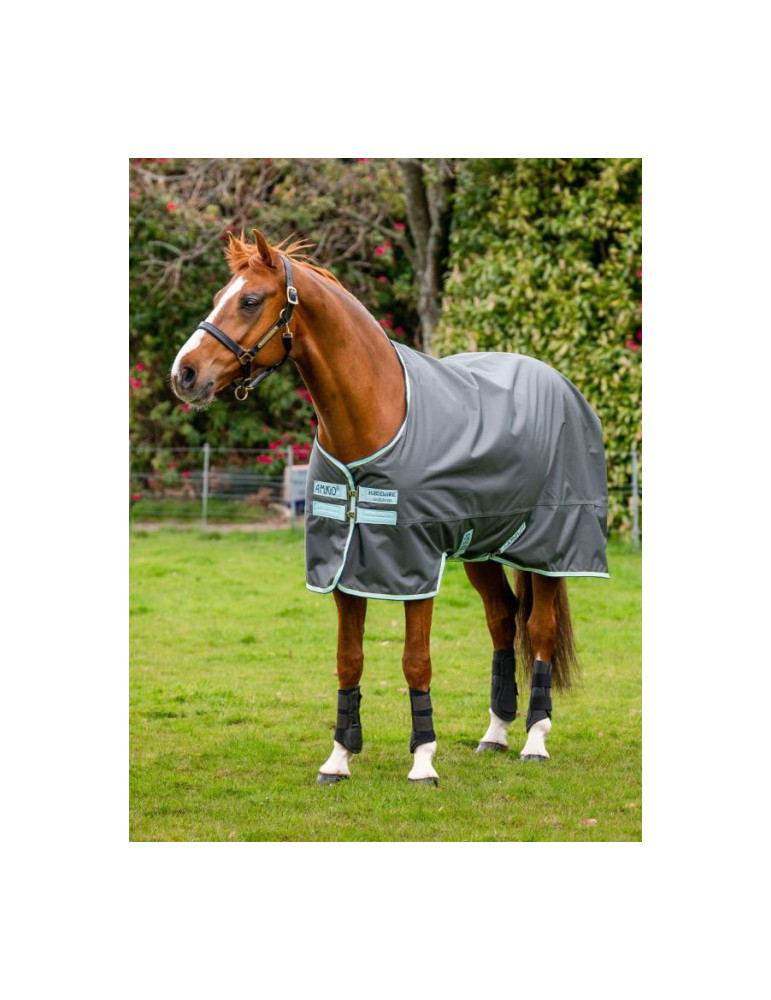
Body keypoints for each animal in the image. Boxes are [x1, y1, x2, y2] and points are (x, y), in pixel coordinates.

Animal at [170, 231, 609, 786]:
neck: (374, 414)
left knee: (539, 629)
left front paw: (423, 761)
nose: (184, 374)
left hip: (550, 549)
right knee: (502, 620)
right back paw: (495, 734)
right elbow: (349, 659)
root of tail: (559, 382)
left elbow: (415, 661)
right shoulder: (342, 567)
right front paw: (339, 757)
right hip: (481, 550)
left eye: (249, 300)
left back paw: (535, 739)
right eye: (218, 298)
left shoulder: (414, 567)